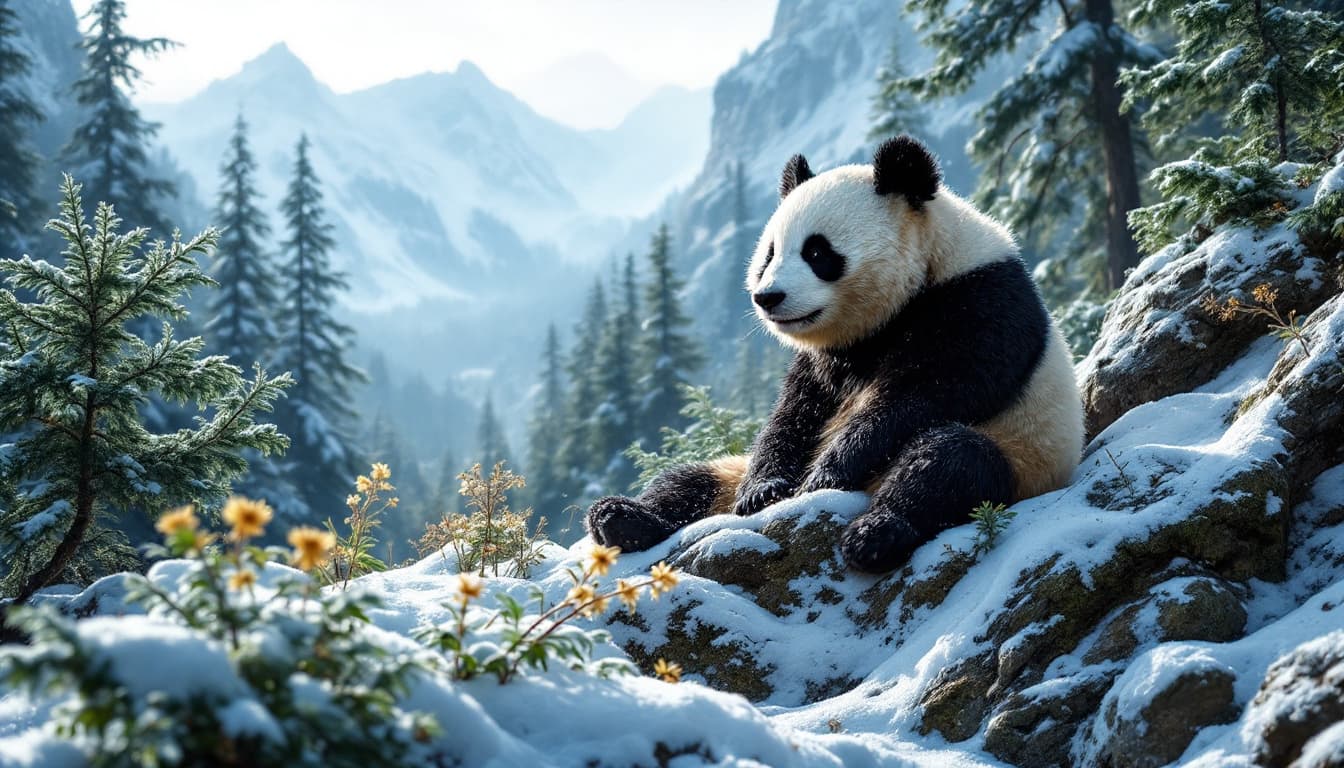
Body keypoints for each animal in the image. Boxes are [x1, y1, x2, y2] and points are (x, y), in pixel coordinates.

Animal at [586, 135, 1084, 573]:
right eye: (769, 254)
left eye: (818, 252)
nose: (768, 297)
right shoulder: (827, 358)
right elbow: (795, 412)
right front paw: (764, 491)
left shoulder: (978, 301)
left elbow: (927, 392)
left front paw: (827, 475)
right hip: (728, 473)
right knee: (688, 481)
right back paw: (620, 518)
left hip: (1025, 455)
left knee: (950, 465)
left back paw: (874, 535)